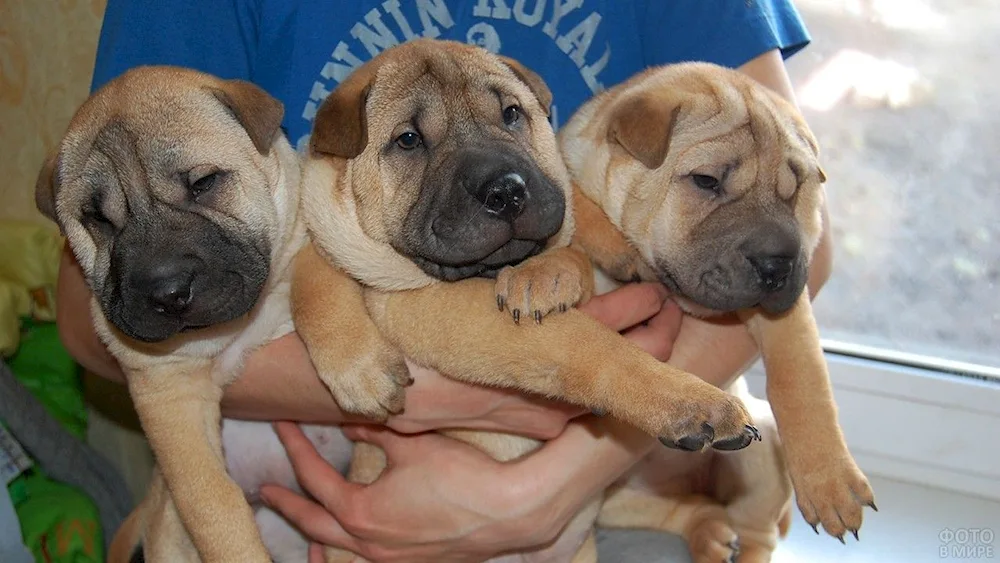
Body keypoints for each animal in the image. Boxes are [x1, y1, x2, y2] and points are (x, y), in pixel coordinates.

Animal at [560, 60, 880, 556]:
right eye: (706, 181)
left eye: (795, 192)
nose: (777, 263)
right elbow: (573, 199)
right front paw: (606, 249)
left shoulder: (787, 314)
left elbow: (801, 377)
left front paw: (831, 482)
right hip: (611, 499)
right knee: (683, 509)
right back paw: (709, 534)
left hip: (761, 458)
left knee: (754, 534)